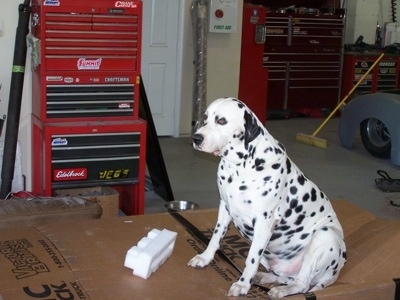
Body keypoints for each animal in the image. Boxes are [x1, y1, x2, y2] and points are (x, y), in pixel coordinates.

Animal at [188, 98, 346, 298]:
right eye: (205, 118)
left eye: (222, 121)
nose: (196, 138)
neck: (240, 167)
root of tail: (337, 270)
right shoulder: (225, 208)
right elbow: (215, 238)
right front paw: (205, 258)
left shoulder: (264, 224)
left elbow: (251, 259)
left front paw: (243, 285)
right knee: (286, 277)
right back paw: (264, 278)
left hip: (324, 235)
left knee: (301, 284)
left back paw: (280, 290)